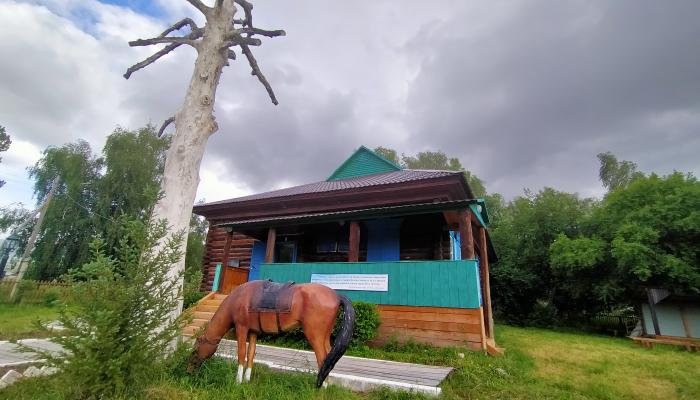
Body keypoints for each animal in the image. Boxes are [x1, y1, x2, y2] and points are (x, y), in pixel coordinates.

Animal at [186, 278, 356, 388]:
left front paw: (237, 382)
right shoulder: (253, 332)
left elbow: (241, 355)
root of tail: (336, 295)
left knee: (323, 359)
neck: (238, 298)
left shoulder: (242, 328)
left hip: (315, 335)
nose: (188, 372)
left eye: (195, 351)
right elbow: (251, 355)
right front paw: (247, 380)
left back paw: (320, 390)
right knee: (329, 358)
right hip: (324, 336)